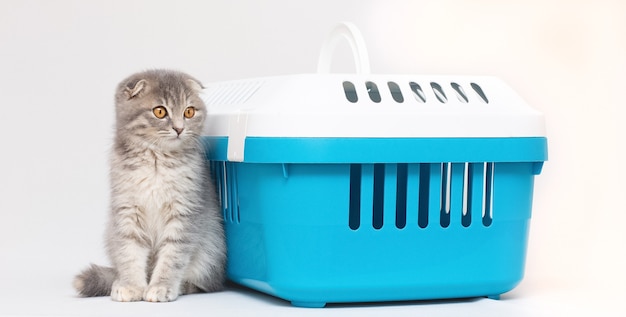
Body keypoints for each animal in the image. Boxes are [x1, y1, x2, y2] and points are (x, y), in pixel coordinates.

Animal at [73, 69, 224, 302]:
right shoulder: (127, 212)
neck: (156, 161)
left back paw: (182, 286)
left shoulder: (184, 213)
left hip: (211, 252)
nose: (179, 128)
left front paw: (162, 287)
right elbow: (129, 253)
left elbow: (172, 257)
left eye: (189, 112)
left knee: (202, 284)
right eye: (160, 111)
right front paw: (131, 286)